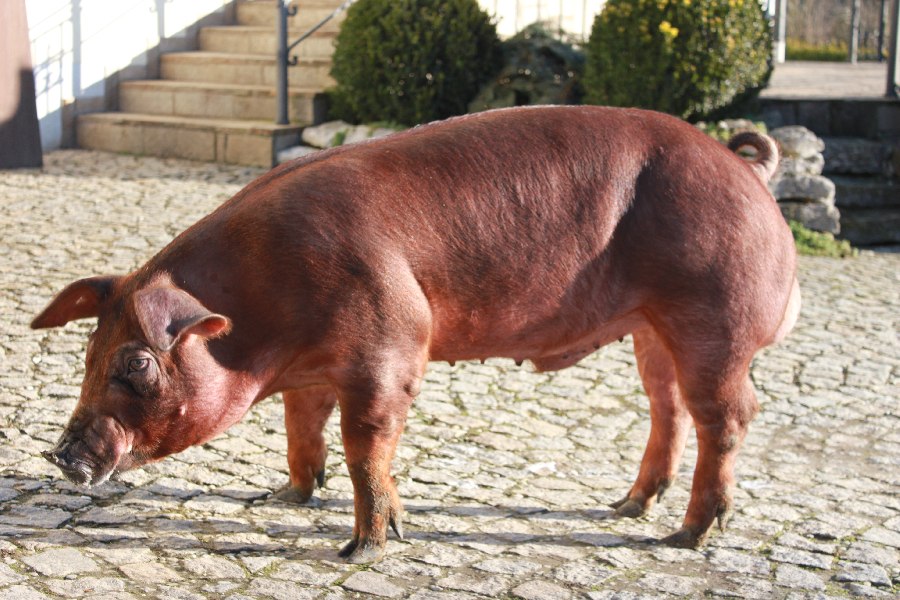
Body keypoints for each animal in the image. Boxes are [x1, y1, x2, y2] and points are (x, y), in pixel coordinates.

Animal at [31, 106, 800, 563]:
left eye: (137, 364)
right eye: (89, 353)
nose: (61, 455)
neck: (263, 321)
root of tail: (748, 167)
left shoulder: (392, 346)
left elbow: (365, 446)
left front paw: (361, 550)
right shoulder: (312, 372)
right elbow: (302, 430)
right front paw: (281, 499)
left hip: (716, 314)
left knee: (730, 415)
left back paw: (684, 536)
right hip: (652, 330)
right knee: (667, 408)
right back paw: (628, 506)